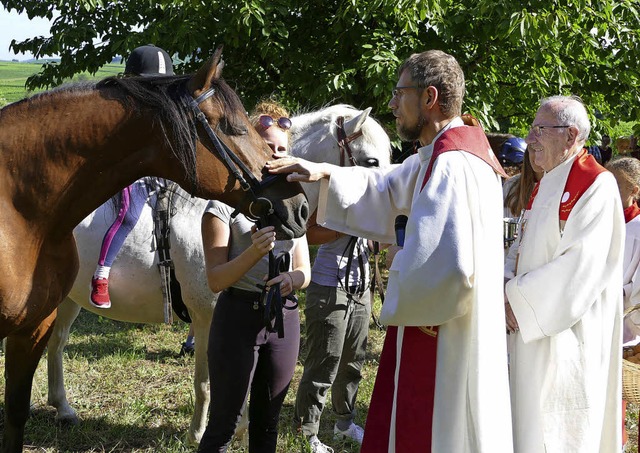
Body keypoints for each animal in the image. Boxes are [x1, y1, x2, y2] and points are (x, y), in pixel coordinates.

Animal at [0, 46, 310, 452]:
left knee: (58, 342)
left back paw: (63, 408)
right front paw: (199, 432)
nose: (299, 208)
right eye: (233, 127)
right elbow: (209, 382)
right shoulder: (208, 315)